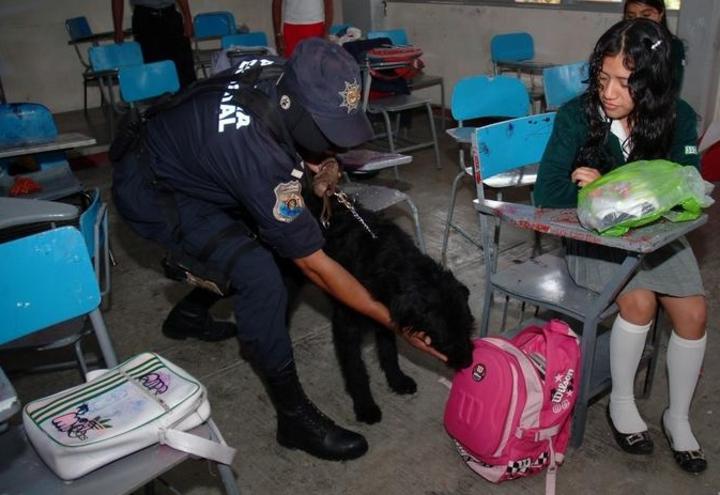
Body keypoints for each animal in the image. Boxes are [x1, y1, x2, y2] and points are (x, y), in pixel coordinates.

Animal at [313, 192, 475, 424]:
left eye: (468, 328)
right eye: (446, 336)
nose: (468, 362)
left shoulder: (382, 314)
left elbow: (389, 351)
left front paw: (397, 380)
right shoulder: (346, 326)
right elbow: (356, 368)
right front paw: (365, 406)